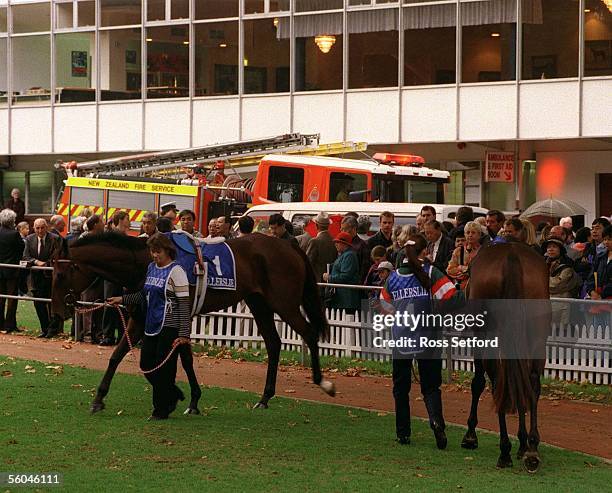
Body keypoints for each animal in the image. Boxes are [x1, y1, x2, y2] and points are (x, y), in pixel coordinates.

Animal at [50, 233, 338, 414]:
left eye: (61, 274)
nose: (57, 312)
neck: (145, 262)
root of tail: (289, 246)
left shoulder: (179, 316)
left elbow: (183, 359)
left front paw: (190, 399)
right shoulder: (140, 317)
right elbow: (118, 356)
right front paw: (99, 398)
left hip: (284, 303)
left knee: (309, 333)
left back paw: (323, 383)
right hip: (259, 303)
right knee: (274, 343)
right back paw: (265, 397)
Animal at [460, 242, 548, 472]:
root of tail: (511, 255)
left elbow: (478, 382)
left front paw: (470, 435)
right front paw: (523, 442)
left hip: (489, 334)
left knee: (497, 380)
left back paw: (505, 450)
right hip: (537, 334)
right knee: (532, 382)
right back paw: (531, 448)